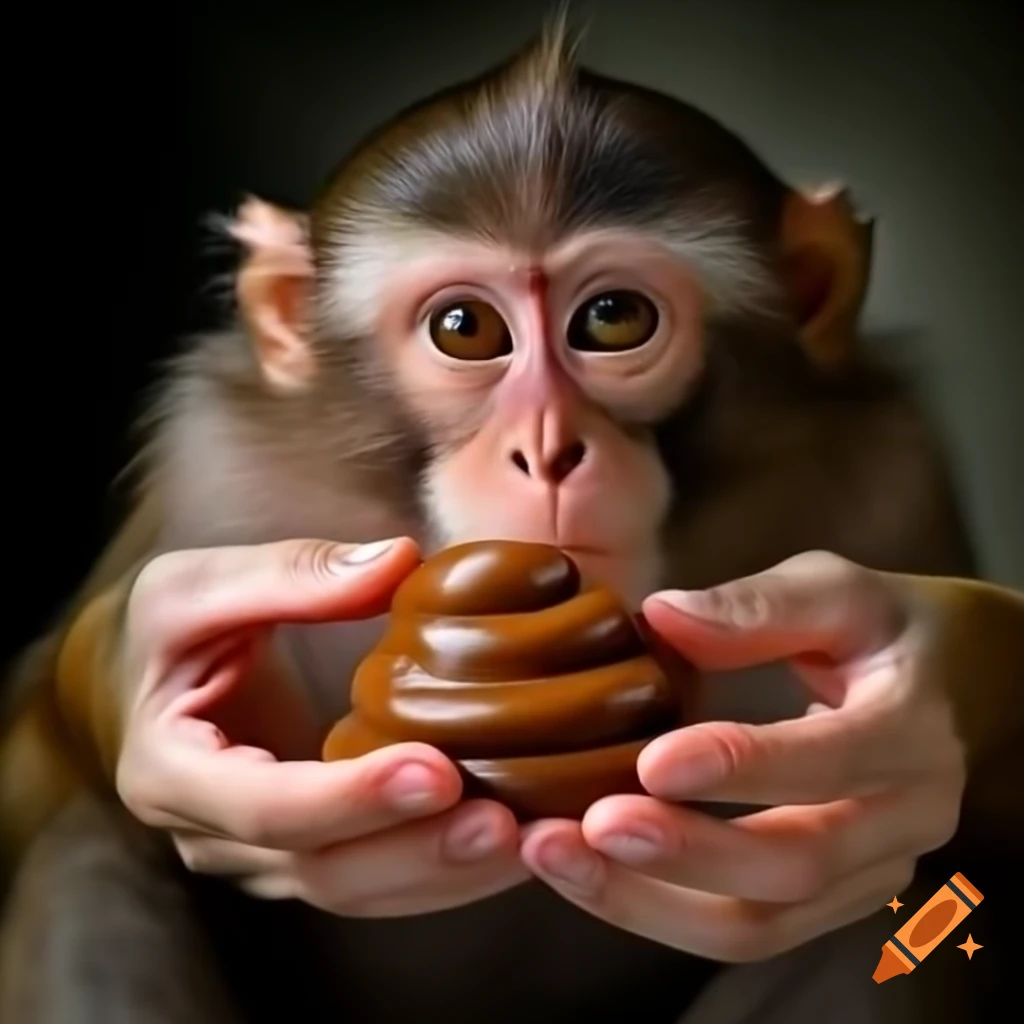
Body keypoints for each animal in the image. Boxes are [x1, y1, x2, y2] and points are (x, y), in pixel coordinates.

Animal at [0, 18, 979, 1024]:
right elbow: (43, 781)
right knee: (88, 861)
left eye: (613, 318)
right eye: (466, 328)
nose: (546, 450)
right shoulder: (212, 478)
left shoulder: (890, 464)